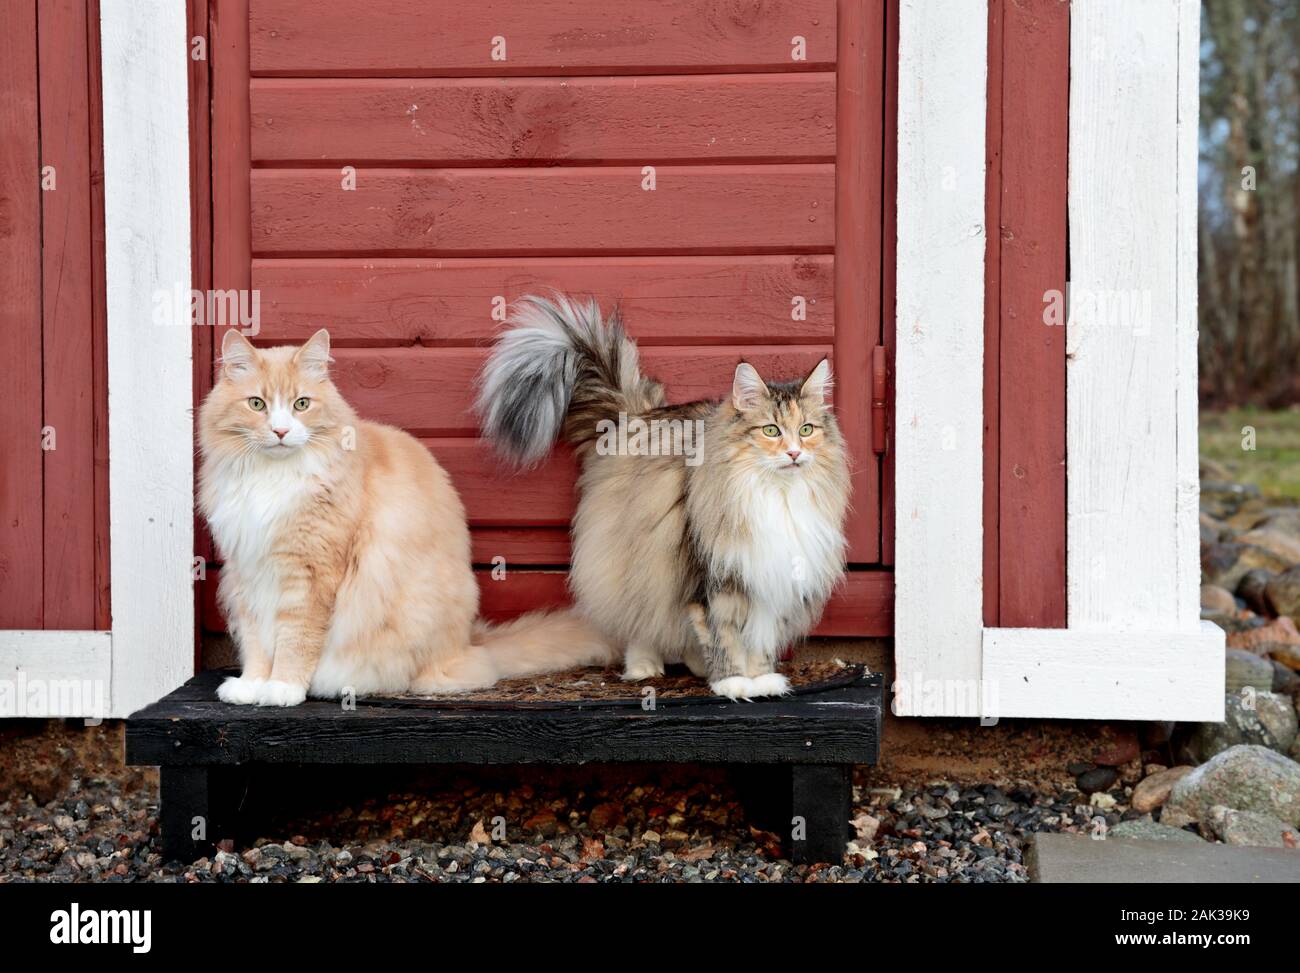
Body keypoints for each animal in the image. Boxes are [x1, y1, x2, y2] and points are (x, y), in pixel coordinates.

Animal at [197, 326, 613, 707]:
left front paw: (283, 688)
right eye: (257, 404)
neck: (271, 478)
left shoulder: (309, 572)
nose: (281, 431)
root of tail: (470, 642)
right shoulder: (246, 570)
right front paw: (253, 684)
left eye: (301, 404)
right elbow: (257, 641)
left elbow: (295, 640)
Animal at [478, 296, 852, 697]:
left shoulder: (770, 580)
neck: (776, 493)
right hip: (640, 556)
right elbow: (726, 637)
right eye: (771, 431)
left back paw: (697, 665)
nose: (795, 453)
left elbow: (757, 640)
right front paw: (734, 682)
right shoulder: (714, 580)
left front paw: (761, 678)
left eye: (806, 430)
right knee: (638, 617)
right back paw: (645, 667)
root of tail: (633, 416)